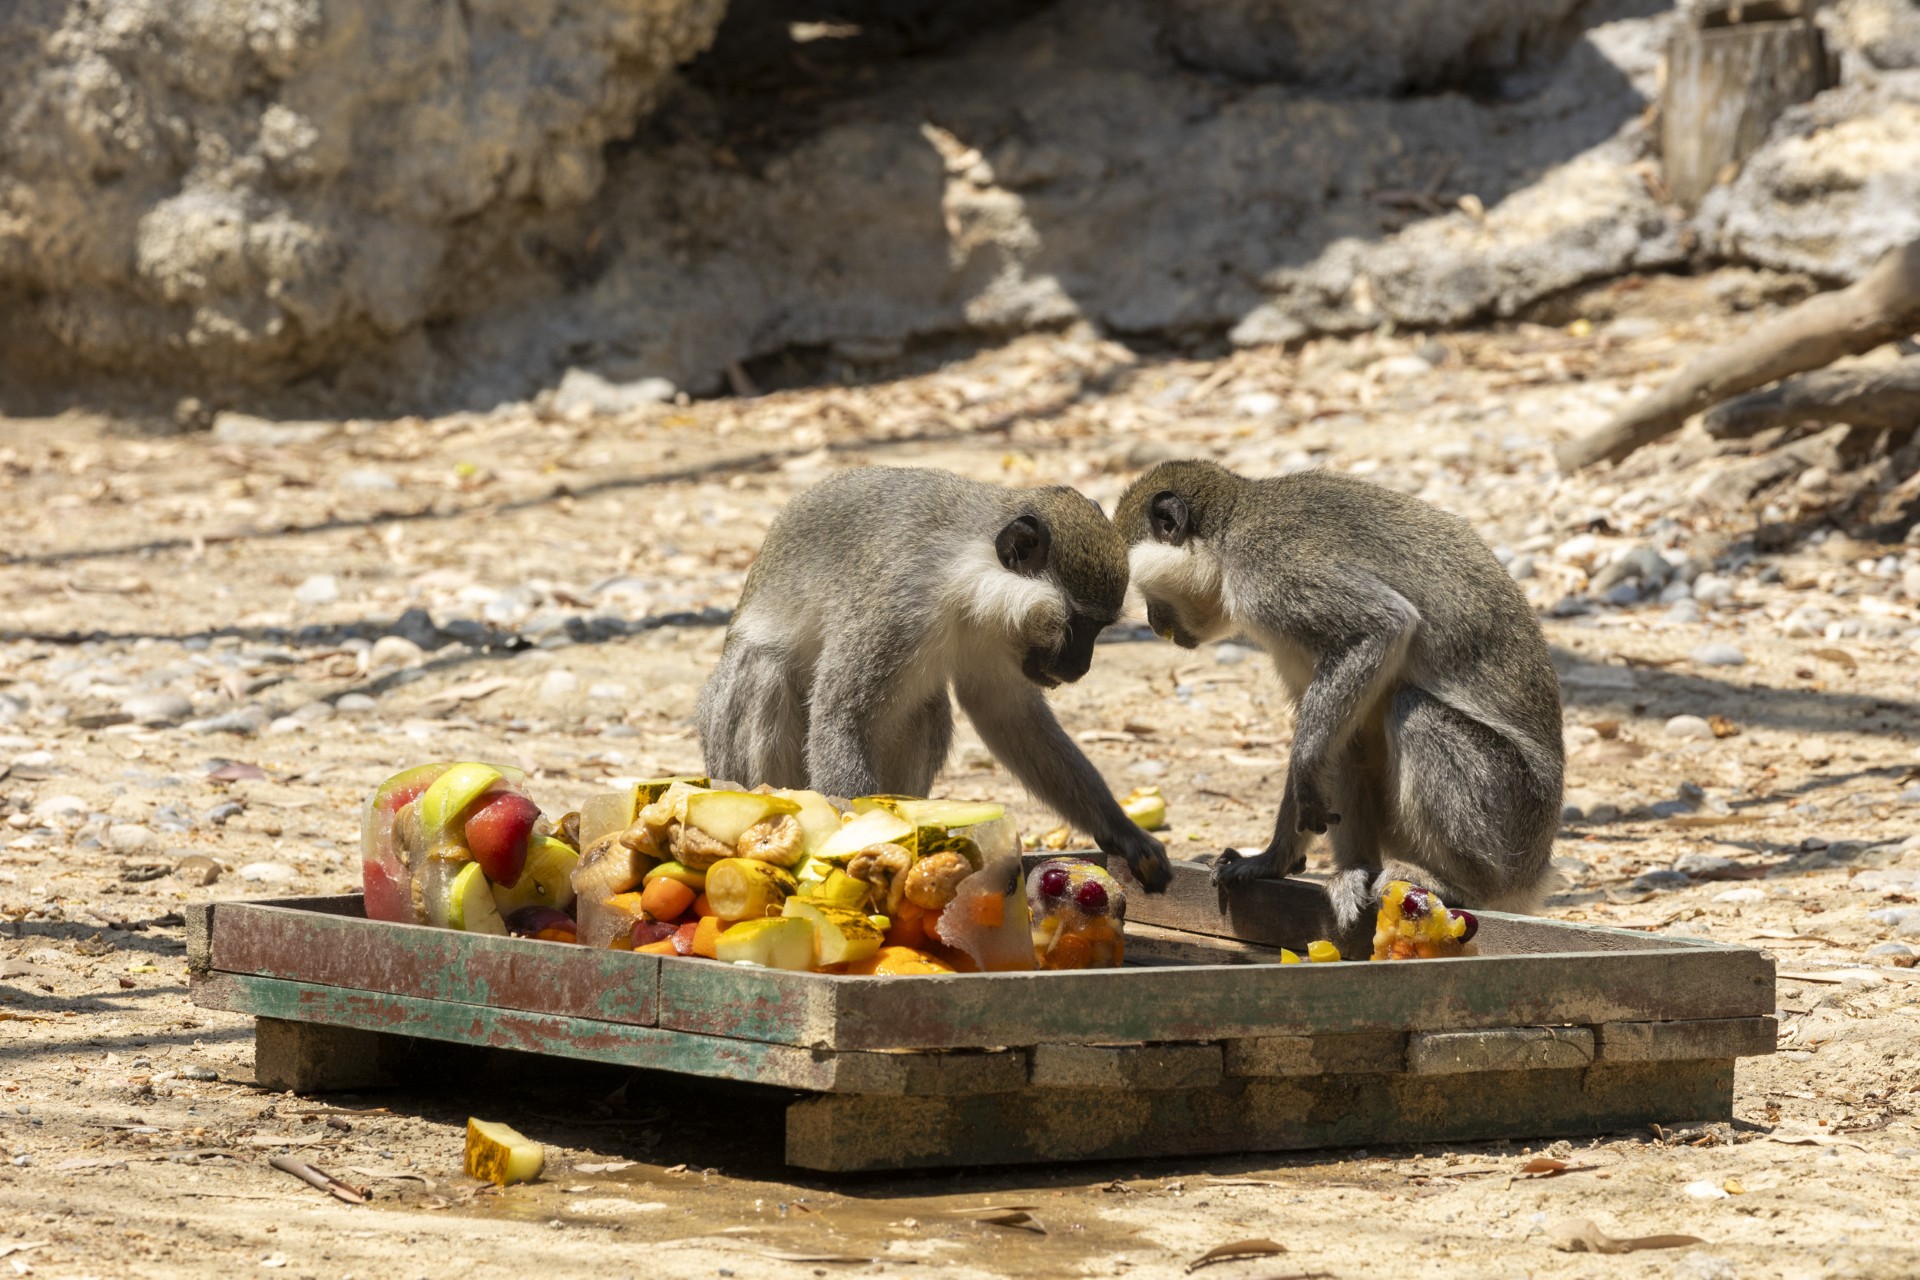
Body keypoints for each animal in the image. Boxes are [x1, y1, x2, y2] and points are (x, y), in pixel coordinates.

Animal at [691, 468, 1167, 890]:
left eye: (1099, 629)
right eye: (1077, 626)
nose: (1080, 667)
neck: (961, 574)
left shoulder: (996, 633)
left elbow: (1008, 715)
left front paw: (1122, 831)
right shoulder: (898, 601)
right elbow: (841, 713)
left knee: (928, 709)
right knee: (766, 671)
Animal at [1113, 466, 1559, 924]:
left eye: (1146, 594)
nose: (1152, 622)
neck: (1229, 533)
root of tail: (1533, 871)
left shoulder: (1269, 567)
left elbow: (1382, 627)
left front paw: (1303, 771)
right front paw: (1272, 861)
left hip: (1509, 817)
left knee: (1414, 712)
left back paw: (1460, 886)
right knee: (1348, 736)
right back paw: (1356, 871)